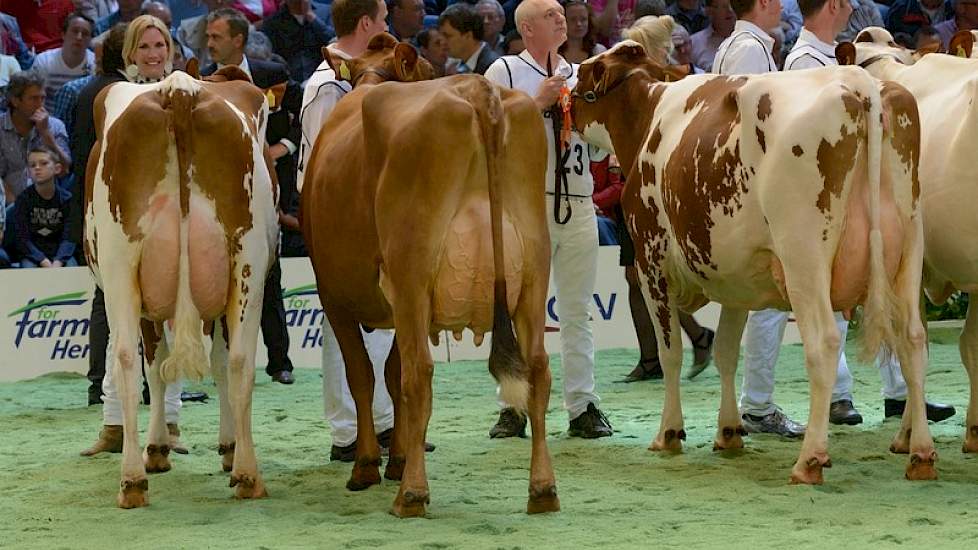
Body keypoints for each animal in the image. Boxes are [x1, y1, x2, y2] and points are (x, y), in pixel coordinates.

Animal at [84, 72, 278, 508]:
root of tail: (180, 87)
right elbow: (198, 363)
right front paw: (221, 448)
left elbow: (159, 367)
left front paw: (161, 447)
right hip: (244, 260)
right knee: (237, 360)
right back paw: (243, 474)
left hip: (124, 265)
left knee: (131, 360)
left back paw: (136, 479)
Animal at [298, 37, 556, 516]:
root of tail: (479, 91)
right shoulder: (395, 304)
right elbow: (390, 373)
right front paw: (397, 457)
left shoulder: (335, 296)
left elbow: (366, 376)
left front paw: (368, 466)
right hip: (532, 272)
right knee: (538, 370)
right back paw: (543, 490)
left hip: (412, 271)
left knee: (420, 373)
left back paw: (412, 494)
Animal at [572, 42, 932, 484]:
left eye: (582, 75)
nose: (561, 104)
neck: (649, 118)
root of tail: (861, 84)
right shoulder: (734, 279)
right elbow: (727, 351)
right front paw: (728, 433)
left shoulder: (651, 262)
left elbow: (671, 352)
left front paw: (669, 433)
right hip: (908, 248)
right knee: (913, 338)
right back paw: (920, 454)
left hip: (803, 255)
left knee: (825, 343)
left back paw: (810, 459)